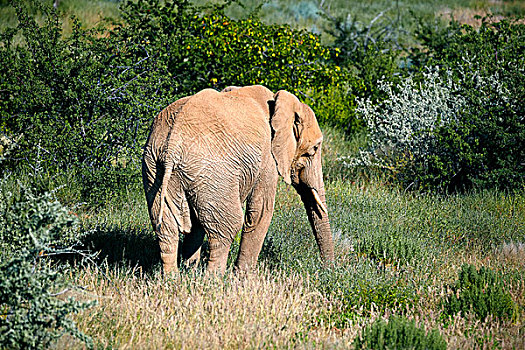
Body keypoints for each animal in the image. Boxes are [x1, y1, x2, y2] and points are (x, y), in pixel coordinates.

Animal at [141, 84, 334, 274]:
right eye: (314, 149)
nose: (328, 270)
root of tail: (172, 146)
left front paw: (190, 270)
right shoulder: (267, 157)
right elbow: (260, 212)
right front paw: (242, 277)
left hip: (156, 168)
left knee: (166, 228)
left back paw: (173, 278)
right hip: (213, 172)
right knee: (227, 226)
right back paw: (214, 279)